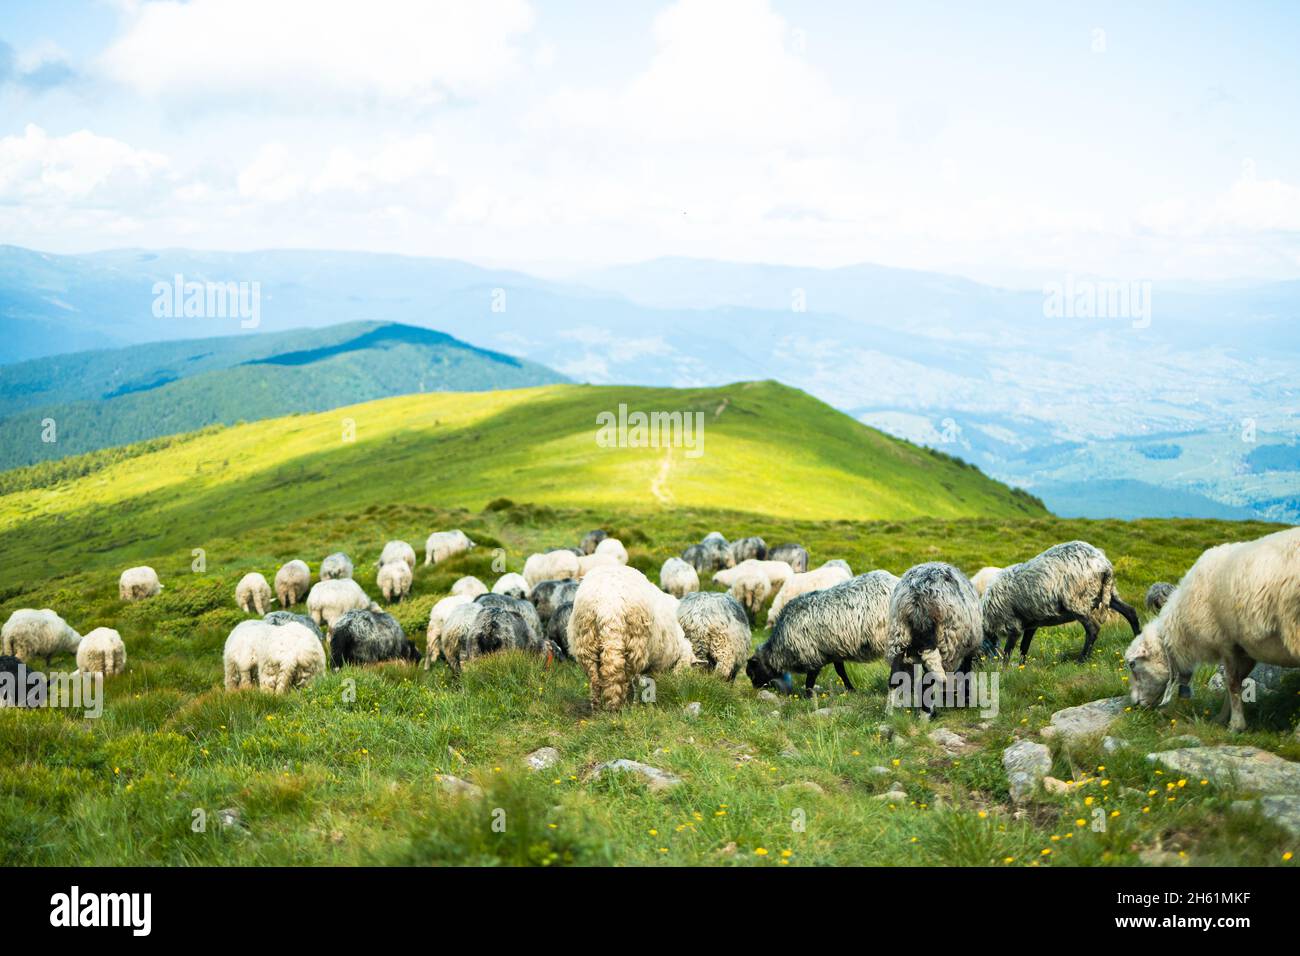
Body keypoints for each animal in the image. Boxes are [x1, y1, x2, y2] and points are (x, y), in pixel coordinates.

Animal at [564, 567, 696, 712]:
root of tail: (608, 607)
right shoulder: (657, 664)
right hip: (635, 644)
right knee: (622, 675)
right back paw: (620, 704)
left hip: (585, 641)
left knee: (595, 677)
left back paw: (597, 706)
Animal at [748, 567, 899, 697]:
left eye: (752, 673)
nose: (755, 691)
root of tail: (895, 580)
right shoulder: (834, 651)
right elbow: (840, 672)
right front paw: (851, 689)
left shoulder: (811, 653)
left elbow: (810, 679)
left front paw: (808, 696)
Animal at [889, 561, 977, 712]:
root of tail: (917, 597)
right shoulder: (966, 652)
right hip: (946, 641)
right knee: (928, 682)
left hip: (900, 635)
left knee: (895, 675)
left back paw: (890, 712)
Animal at [982, 538, 1138, 665]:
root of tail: (1104, 565)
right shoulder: (1031, 623)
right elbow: (1024, 647)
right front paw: (1021, 667)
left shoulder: (1012, 625)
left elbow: (1008, 651)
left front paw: (1004, 671)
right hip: (1106, 592)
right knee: (1130, 611)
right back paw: (1137, 639)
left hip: (1077, 600)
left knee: (1093, 629)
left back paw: (1081, 660)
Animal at [1128, 528, 1300, 738]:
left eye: (1132, 664)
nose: (1135, 704)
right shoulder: (1245, 648)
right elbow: (1237, 682)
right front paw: (1222, 719)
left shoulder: (1225, 642)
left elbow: (1232, 683)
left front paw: (1235, 724)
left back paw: (1297, 733)